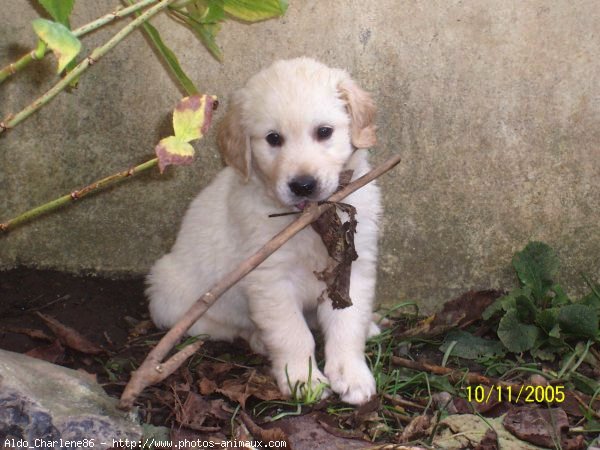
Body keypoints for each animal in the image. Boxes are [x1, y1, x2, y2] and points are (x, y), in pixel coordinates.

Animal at [146, 56, 380, 404]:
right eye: (273, 139)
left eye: (324, 132)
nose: (303, 185)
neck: (310, 221)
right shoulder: (270, 279)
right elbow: (292, 333)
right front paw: (303, 379)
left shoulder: (352, 265)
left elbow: (347, 324)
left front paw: (352, 374)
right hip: (172, 292)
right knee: (215, 327)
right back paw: (255, 338)